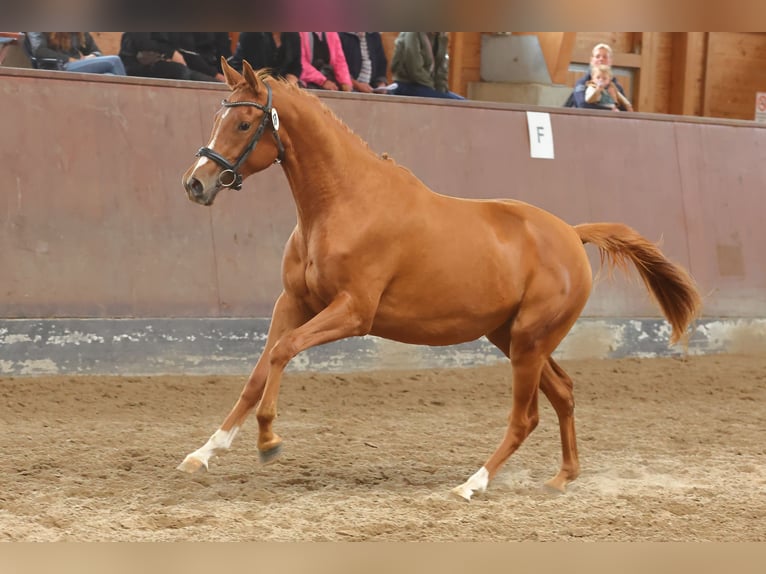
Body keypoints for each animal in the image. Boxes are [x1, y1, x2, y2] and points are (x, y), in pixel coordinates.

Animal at [178, 58, 704, 500]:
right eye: (218, 119)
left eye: (244, 124)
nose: (196, 183)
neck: (344, 203)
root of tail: (572, 235)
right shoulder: (292, 303)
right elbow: (258, 372)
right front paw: (205, 452)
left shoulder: (352, 312)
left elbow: (283, 353)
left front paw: (269, 438)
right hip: (512, 337)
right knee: (563, 392)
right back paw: (562, 478)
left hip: (529, 341)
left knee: (526, 416)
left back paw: (473, 484)